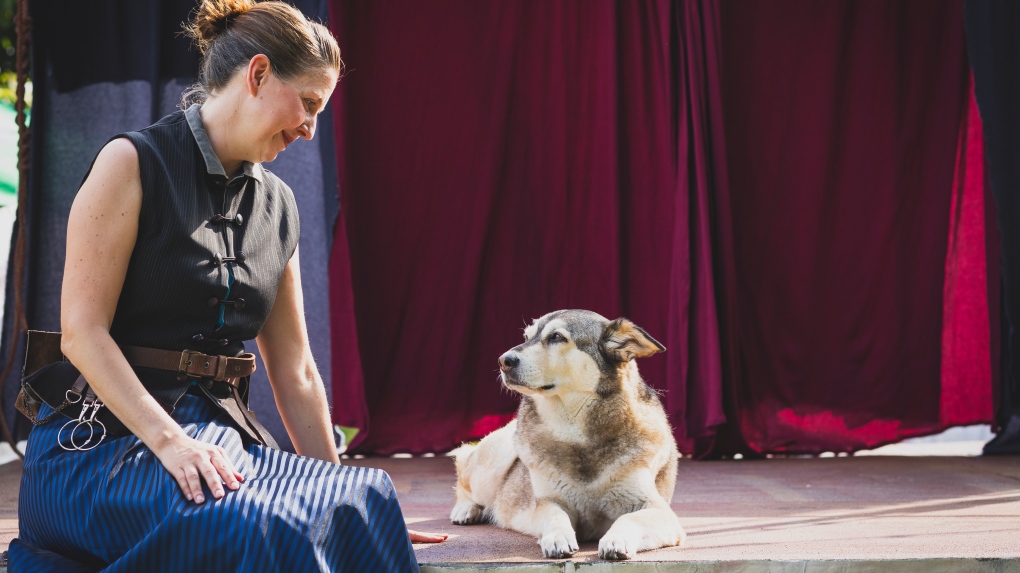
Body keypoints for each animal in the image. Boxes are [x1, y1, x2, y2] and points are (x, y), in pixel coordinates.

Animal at [448, 307, 681, 558]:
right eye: (527, 337)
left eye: (557, 337)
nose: (503, 360)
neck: (575, 431)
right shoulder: (548, 501)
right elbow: (555, 516)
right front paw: (557, 538)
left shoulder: (658, 510)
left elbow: (630, 519)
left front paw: (616, 539)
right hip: (497, 457)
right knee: (463, 471)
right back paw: (466, 509)